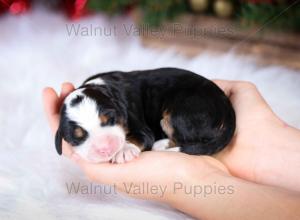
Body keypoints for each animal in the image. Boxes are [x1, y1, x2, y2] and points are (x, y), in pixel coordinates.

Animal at [55, 68, 236, 163]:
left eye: (111, 119)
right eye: (77, 138)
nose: (106, 148)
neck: (103, 88)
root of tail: (228, 109)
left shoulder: (139, 124)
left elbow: (139, 137)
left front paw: (124, 150)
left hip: (180, 115)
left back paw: (161, 145)